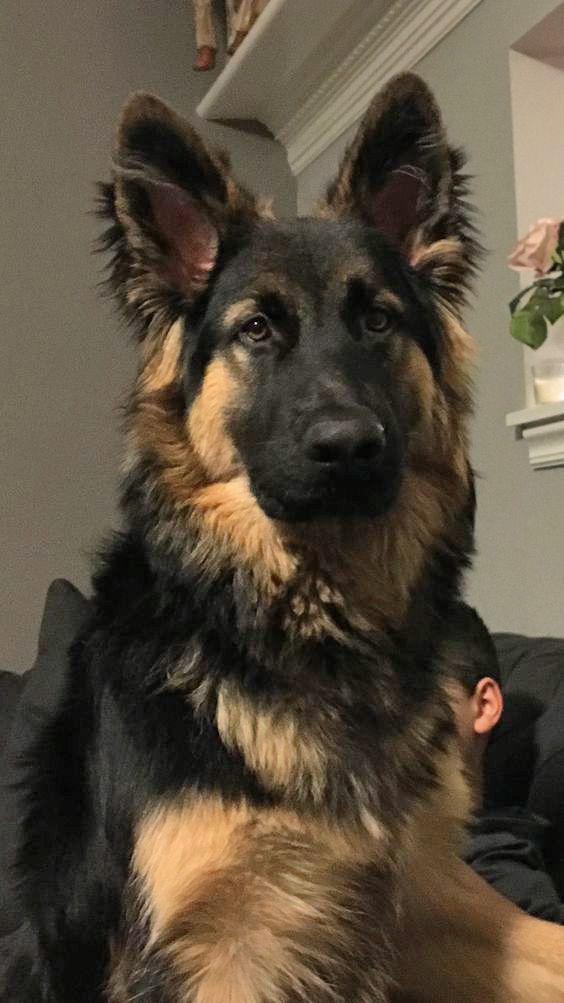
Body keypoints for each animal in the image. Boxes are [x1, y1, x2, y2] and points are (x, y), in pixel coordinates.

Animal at [13, 72, 564, 1003]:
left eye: (378, 321)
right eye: (256, 330)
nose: (348, 447)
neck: (314, 622)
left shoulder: (423, 895)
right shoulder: (222, 943)